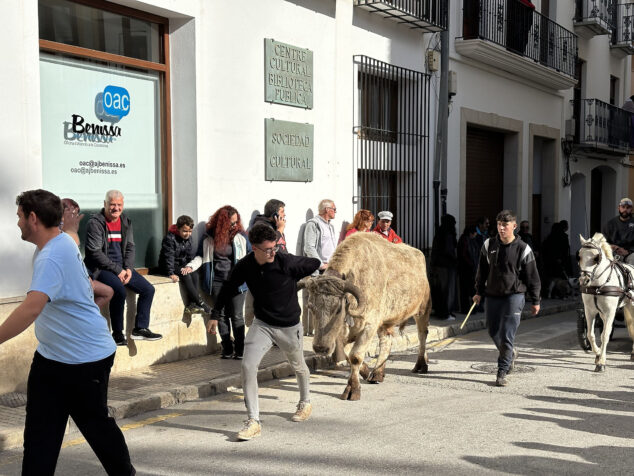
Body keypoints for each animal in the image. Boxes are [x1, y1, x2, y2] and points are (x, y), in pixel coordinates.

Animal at [298, 232, 430, 400]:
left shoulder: (370, 325)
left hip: (422, 311)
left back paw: (420, 365)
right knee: (386, 341)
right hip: (385, 321)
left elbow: (356, 356)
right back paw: (377, 373)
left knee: (422, 335)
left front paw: (352, 389)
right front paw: (366, 372)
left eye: (338, 309)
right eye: (311, 307)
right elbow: (348, 355)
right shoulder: (346, 333)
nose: (321, 348)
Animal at [576, 234, 632, 372]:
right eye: (579, 256)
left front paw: (601, 362)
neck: (598, 286)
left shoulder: (610, 312)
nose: (584, 280)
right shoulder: (589, 311)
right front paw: (597, 354)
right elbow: (590, 335)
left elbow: (604, 335)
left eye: (596, 258)